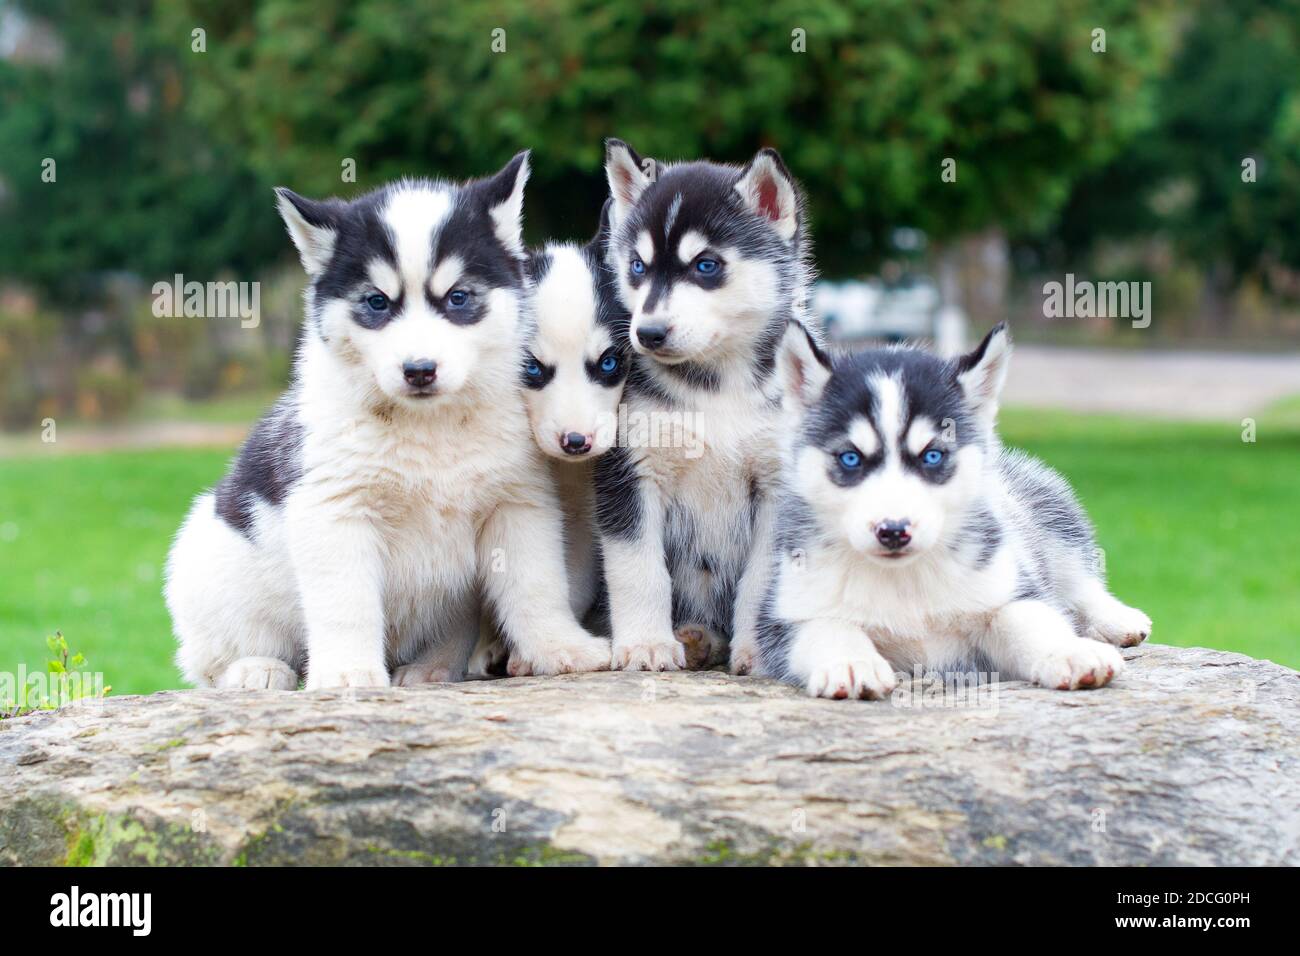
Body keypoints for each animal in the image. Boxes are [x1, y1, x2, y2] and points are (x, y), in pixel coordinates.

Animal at [166, 153, 608, 691]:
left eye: (458, 297)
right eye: (377, 302)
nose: (419, 370)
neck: (429, 426)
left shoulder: (517, 504)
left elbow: (536, 586)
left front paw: (560, 647)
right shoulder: (334, 509)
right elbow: (346, 603)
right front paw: (347, 673)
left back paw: (431, 667)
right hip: (210, 556)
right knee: (218, 658)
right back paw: (256, 668)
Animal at [595, 140, 811, 671]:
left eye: (706, 265)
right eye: (637, 267)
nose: (648, 333)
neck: (714, 388)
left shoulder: (777, 486)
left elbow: (761, 580)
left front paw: (759, 650)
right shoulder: (629, 472)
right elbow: (638, 568)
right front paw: (645, 643)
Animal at [759, 325, 1154, 697]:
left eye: (933, 455)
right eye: (850, 458)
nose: (893, 531)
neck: (904, 580)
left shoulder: (1004, 591)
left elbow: (1032, 619)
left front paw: (1070, 652)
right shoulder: (782, 618)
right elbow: (825, 628)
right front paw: (851, 663)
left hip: (1043, 513)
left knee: (1079, 579)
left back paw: (1117, 620)